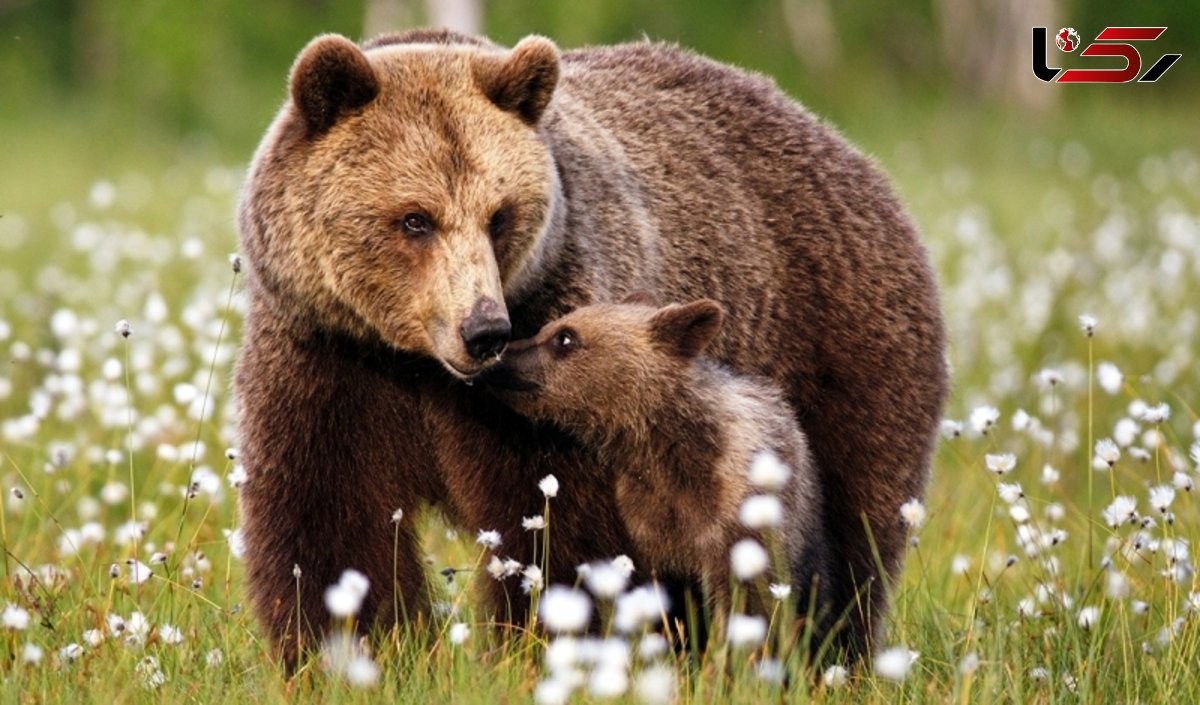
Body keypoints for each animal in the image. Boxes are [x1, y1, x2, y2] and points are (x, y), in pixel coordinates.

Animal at [234, 28, 945, 666]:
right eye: (415, 219)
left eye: (500, 215)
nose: (485, 330)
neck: (414, 363)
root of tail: (841, 143)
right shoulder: (326, 357)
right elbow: (330, 525)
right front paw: (353, 650)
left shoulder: (561, 352)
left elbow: (553, 524)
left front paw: (538, 645)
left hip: (840, 348)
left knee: (852, 528)